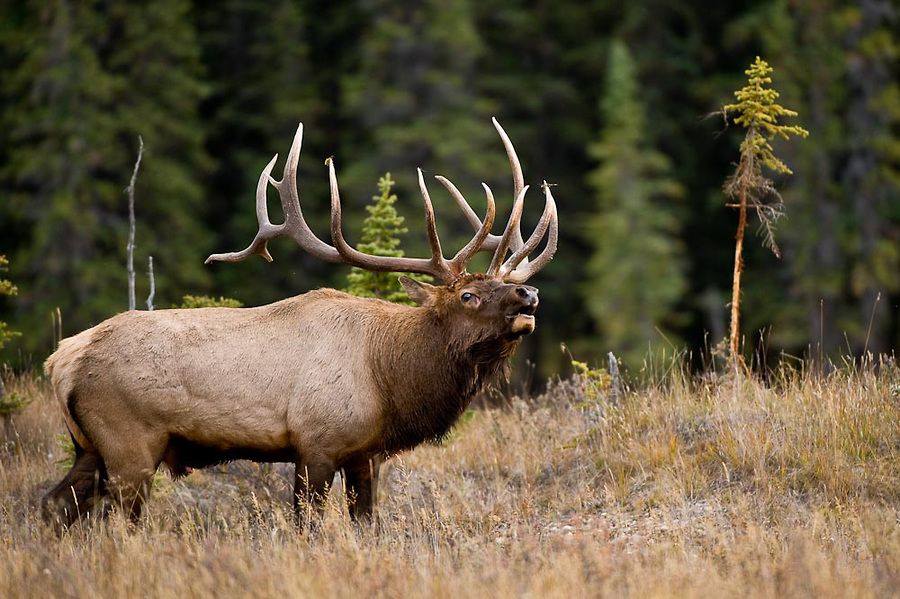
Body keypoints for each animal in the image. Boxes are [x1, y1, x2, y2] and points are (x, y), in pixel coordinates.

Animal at [41, 118, 558, 527]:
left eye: (507, 284)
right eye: (468, 296)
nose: (529, 294)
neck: (389, 378)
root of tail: (61, 361)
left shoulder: (364, 453)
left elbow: (365, 523)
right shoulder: (317, 443)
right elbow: (305, 525)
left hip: (89, 446)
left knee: (54, 504)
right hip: (129, 442)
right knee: (114, 519)